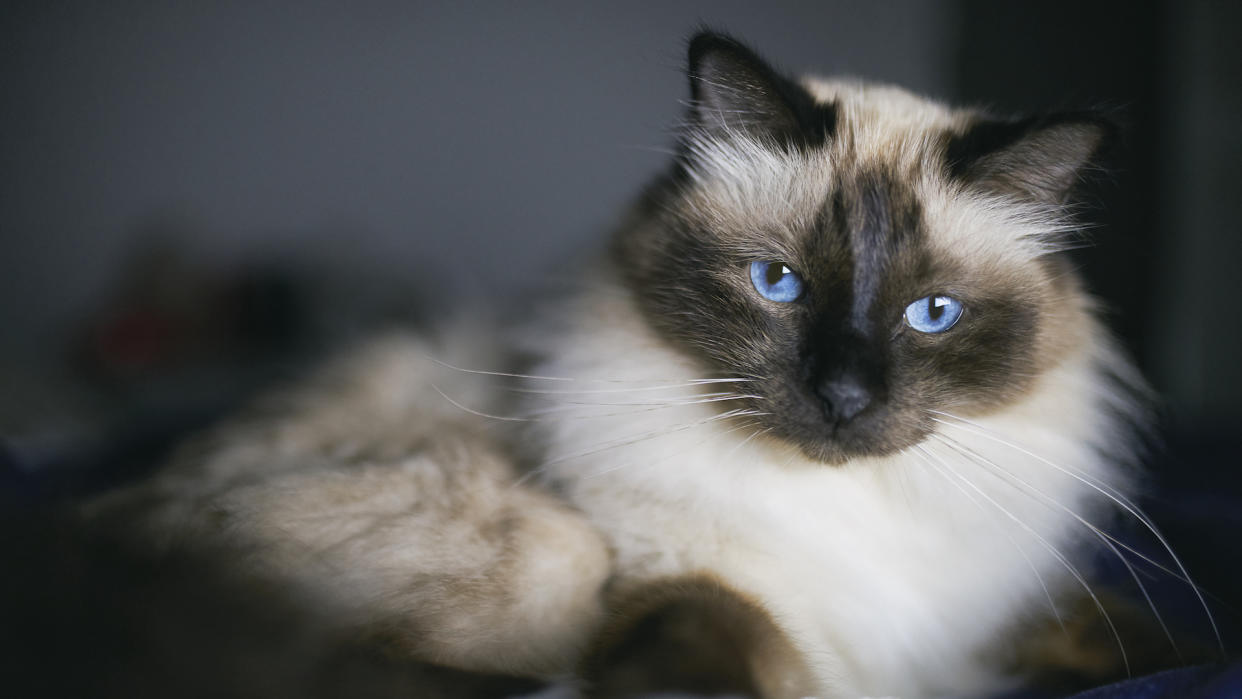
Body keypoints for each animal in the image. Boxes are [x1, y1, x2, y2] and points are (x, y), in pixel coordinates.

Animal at [80, 30, 1212, 695]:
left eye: (932, 313)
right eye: (778, 284)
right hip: (548, 548)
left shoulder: (967, 628)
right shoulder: (676, 581)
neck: (847, 512)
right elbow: (713, 657)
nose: (843, 398)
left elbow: (1147, 639)